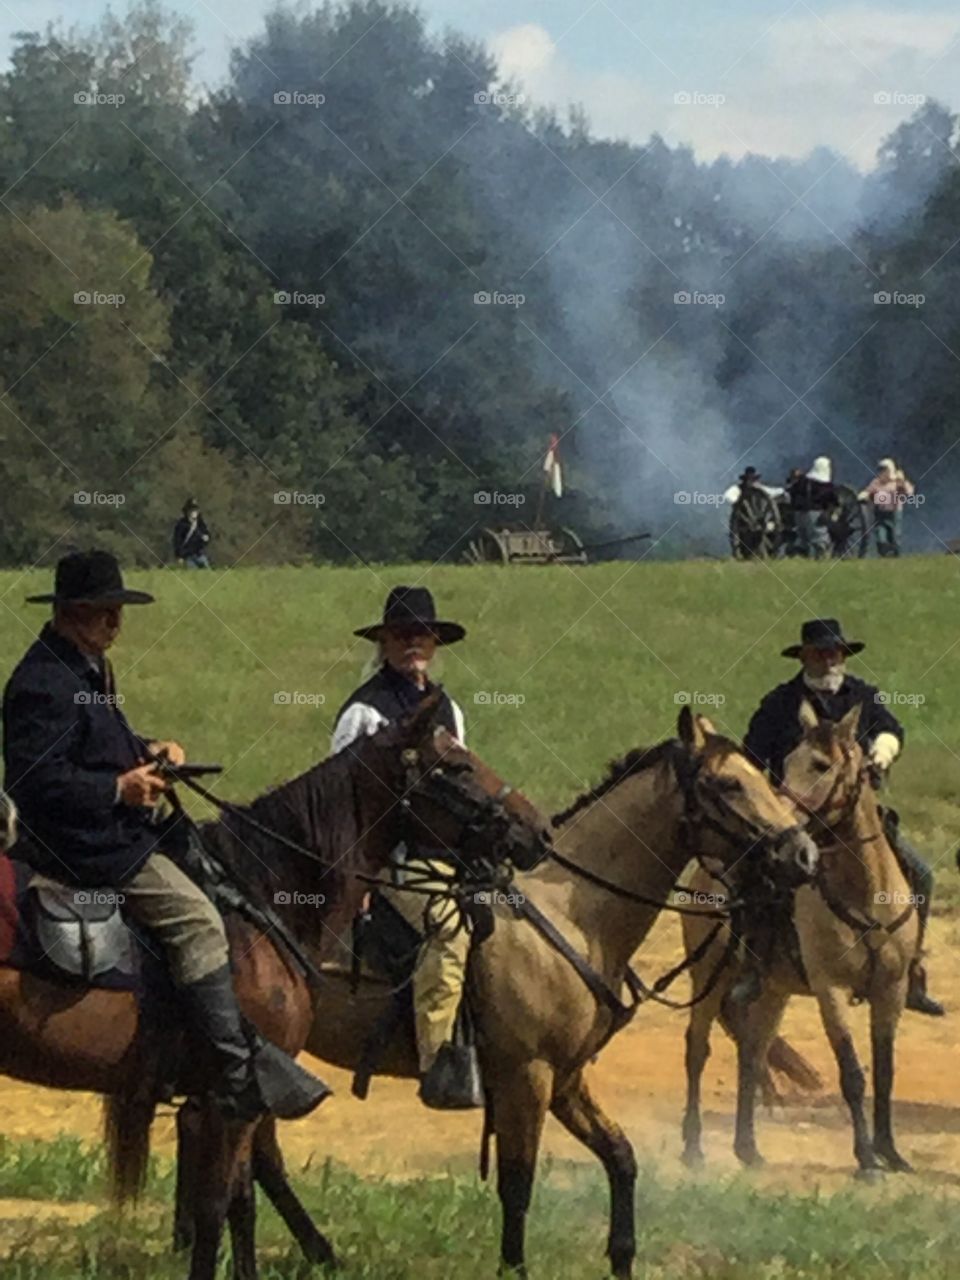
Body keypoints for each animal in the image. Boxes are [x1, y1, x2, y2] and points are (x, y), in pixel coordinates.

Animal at [0, 701, 547, 1280]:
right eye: (457, 766)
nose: (539, 831)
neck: (256, 898)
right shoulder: (230, 1105)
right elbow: (216, 1206)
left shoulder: (239, 1104)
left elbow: (241, 1203)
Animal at [185, 711, 819, 1280]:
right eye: (729, 783)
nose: (804, 854)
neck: (574, 912)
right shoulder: (526, 1076)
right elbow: (518, 1184)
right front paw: (515, 1267)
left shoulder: (566, 1079)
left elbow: (621, 1158)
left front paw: (622, 1257)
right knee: (251, 1158)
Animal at [680, 706, 921, 1172]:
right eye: (789, 760)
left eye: (822, 765)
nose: (788, 828)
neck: (865, 893)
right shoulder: (832, 990)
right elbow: (853, 1073)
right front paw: (867, 1160)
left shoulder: (892, 989)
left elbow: (885, 1071)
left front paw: (890, 1151)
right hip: (708, 975)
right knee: (697, 1048)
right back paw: (693, 1146)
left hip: (773, 990)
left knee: (752, 1054)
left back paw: (747, 1148)